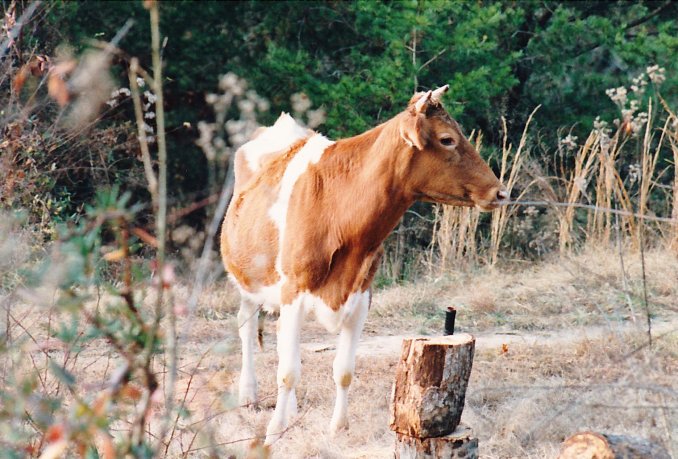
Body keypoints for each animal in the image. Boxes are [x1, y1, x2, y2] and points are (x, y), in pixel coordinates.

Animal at [220, 85, 507, 444]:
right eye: (447, 139)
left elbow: (343, 370)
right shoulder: (293, 290)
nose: (500, 192)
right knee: (246, 325)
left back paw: (292, 409)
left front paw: (338, 428)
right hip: (248, 280)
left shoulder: (362, 294)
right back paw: (249, 395)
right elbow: (288, 372)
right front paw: (273, 433)